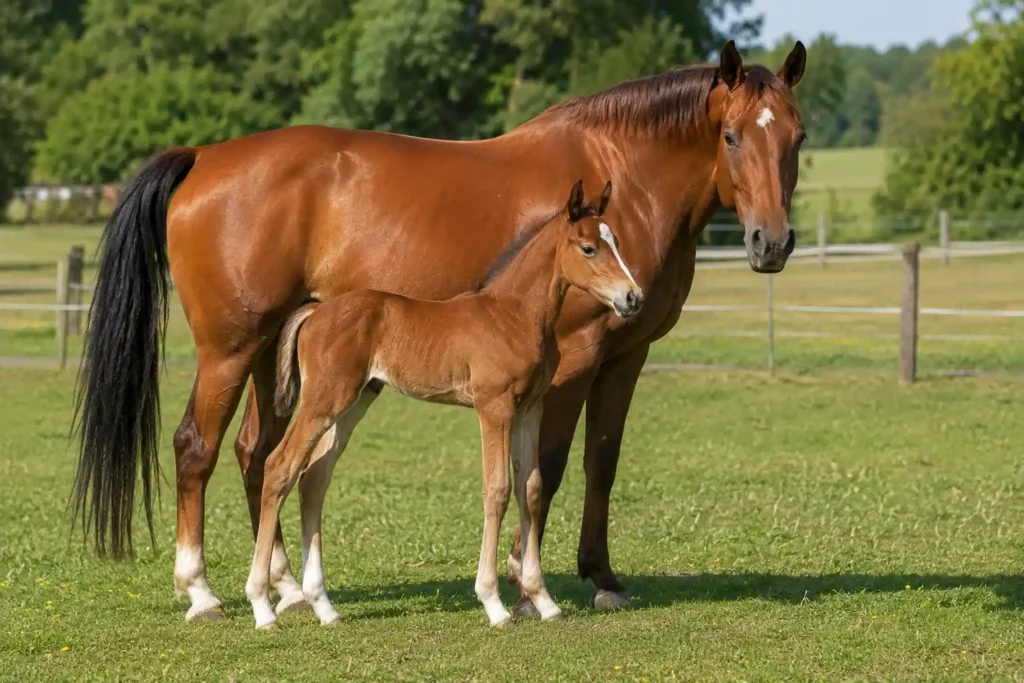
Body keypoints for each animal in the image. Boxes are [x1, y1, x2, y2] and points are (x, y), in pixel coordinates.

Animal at [244, 180, 640, 630]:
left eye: (616, 242)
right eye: (589, 248)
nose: (633, 298)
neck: (514, 315)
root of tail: (315, 312)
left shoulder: (530, 409)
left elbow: (532, 489)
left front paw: (544, 601)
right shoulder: (494, 407)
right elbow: (498, 489)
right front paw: (494, 604)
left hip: (353, 403)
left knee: (313, 477)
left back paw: (325, 607)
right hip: (323, 400)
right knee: (280, 466)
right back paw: (262, 606)